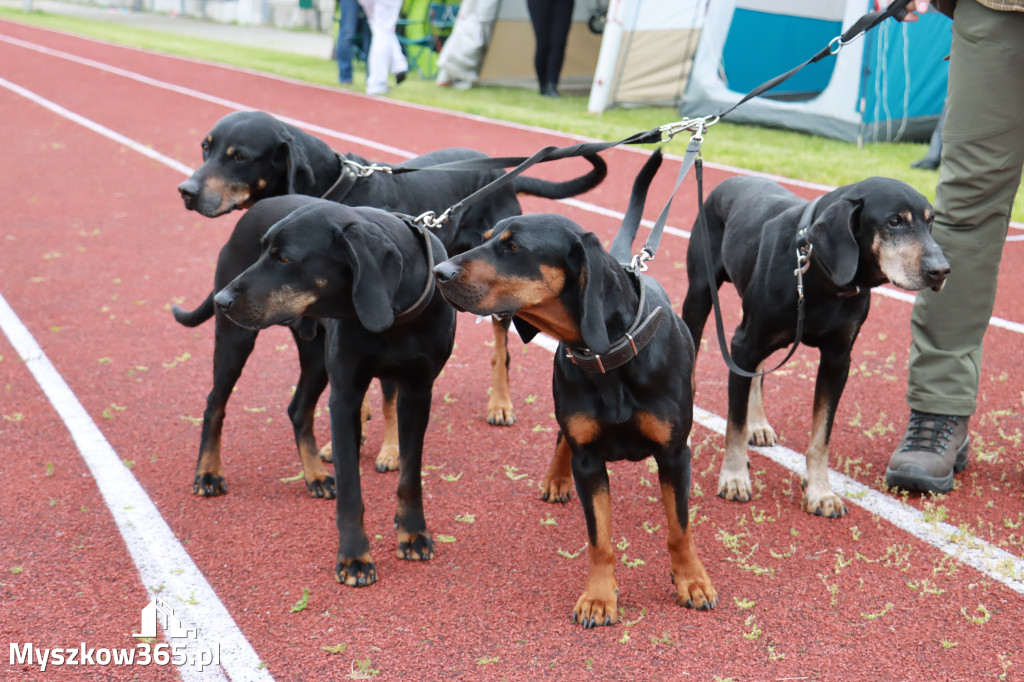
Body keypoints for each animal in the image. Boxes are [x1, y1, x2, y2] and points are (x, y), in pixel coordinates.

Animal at [172, 110, 602, 493]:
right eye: (206, 148)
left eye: (239, 156)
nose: (187, 192)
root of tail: (501, 174)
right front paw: (347, 442)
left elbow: (391, 399)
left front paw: (391, 450)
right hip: (241, 334)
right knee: (218, 401)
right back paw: (210, 472)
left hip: (495, 284)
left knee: (501, 348)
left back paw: (500, 402)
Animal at [211, 192, 452, 585]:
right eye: (262, 251)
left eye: (284, 258)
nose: (222, 299)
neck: (393, 315)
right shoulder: (345, 398)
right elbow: (352, 490)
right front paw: (354, 557)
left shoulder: (418, 392)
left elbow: (410, 475)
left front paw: (413, 533)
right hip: (235, 341)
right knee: (214, 404)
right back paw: (207, 473)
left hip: (315, 357)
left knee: (298, 409)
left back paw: (315, 476)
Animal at [430, 152, 712, 626]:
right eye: (485, 238)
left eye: (513, 247)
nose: (439, 270)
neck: (607, 355)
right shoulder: (589, 460)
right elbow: (599, 538)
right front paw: (599, 597)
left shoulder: (675, 454)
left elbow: (679, 527)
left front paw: (691, 579)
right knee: (562, 435)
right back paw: (556, 477)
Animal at [679, 175, 950, 516]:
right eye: (895, 221)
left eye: (931, 222)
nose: (941, 270)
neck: (819, 275)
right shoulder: (743, 344)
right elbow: (734, 426)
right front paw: (734, 477)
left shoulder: (837, 360)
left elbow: (821, 437)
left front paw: (821, 491)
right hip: (699, 297)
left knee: (758, 373)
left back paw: (759, 423)